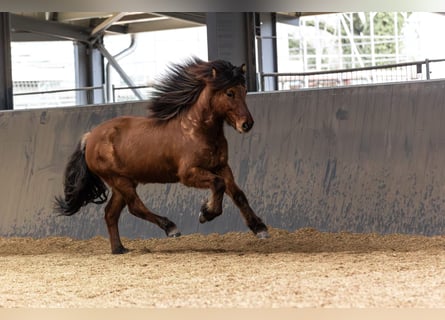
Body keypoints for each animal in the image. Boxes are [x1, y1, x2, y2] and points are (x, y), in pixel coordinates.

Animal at [53, 57, 268, 252]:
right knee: (135, 207)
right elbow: (218, 185)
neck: (196, 130)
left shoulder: (222, 167)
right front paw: (206, 213)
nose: (247, 124)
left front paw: (260, 228)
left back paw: (119, 249)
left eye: (244, 91)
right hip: (119, 180)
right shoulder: (188, 174)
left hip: (124, 181)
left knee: (110, 213)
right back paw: (171, 228)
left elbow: (238, 194)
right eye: (230, 92)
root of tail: (90, 137)